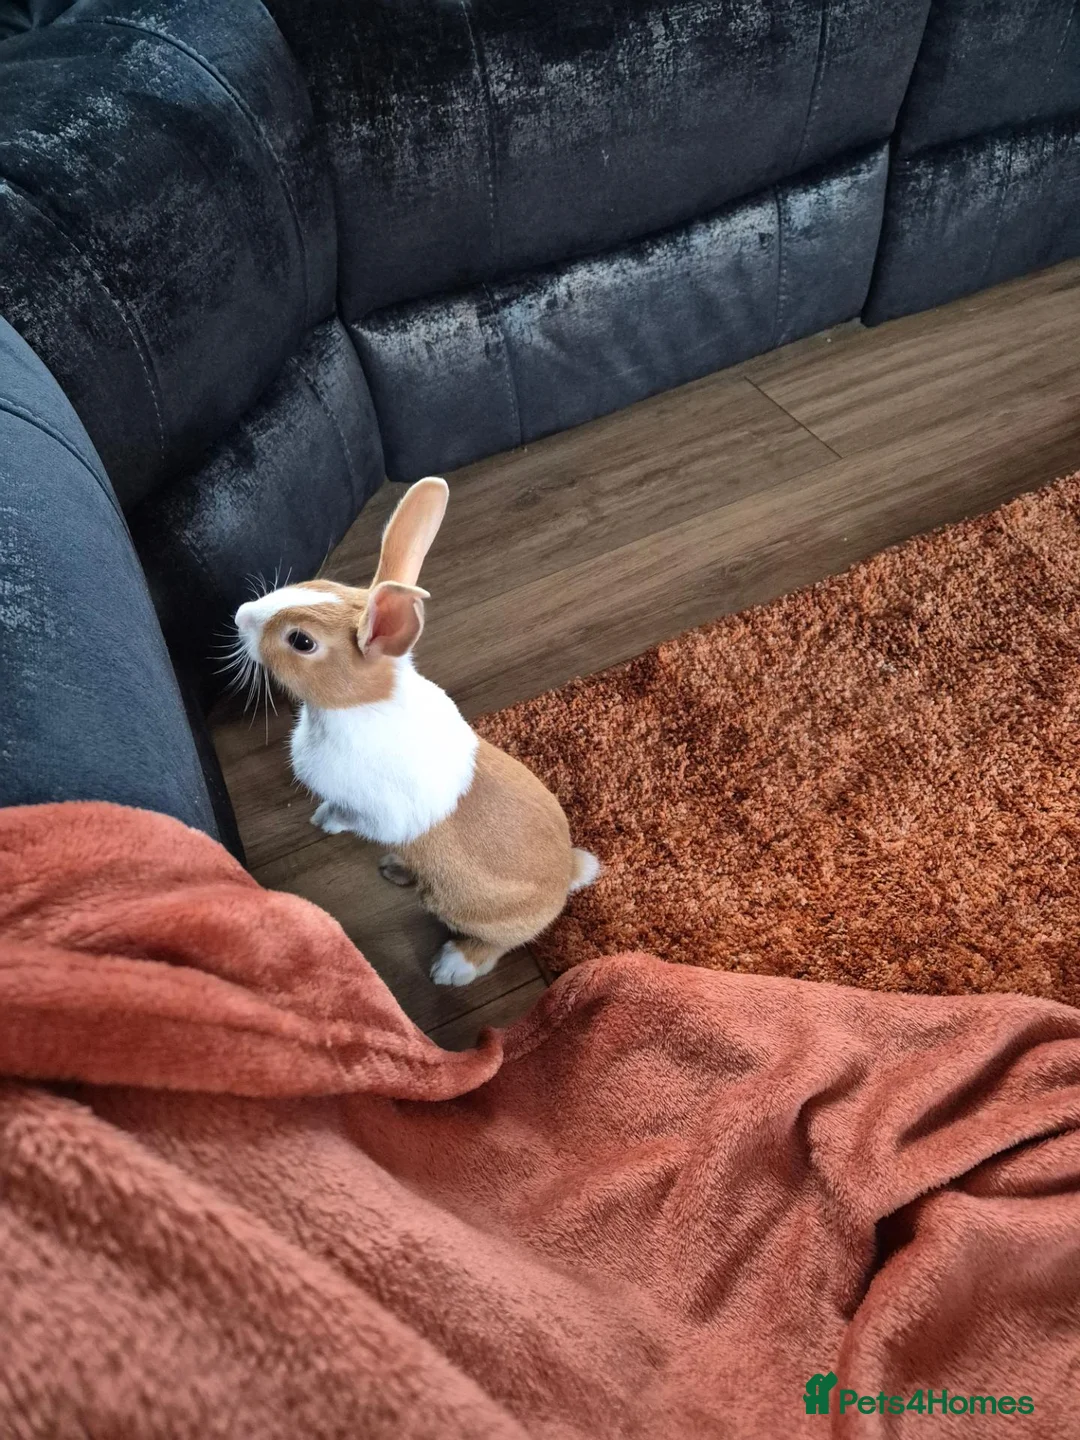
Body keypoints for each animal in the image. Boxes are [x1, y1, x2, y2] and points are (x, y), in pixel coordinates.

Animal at [234, 477, 600, 987]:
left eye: (301, 642)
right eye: (318, 586)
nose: (241, 615)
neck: (358, 704)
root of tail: (567, 876)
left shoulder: (380, 814)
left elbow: (355, 817)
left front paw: (325, 821)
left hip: (472, 916)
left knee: (494, 946)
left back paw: (452, 967)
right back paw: (396, 868)